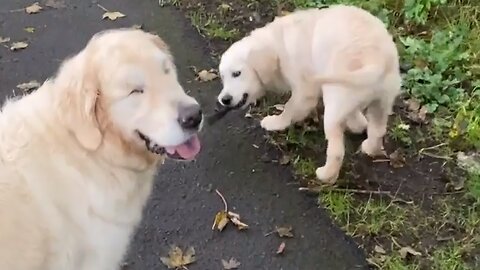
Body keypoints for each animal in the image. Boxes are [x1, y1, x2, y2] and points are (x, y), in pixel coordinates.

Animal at [218, 5, 402, 184]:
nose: (224, 100)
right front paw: (357, 123)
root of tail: (376, 62)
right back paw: (369, 148)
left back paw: (326, 175)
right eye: (223, 77)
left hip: (334, 99)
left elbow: (289, 109)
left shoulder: (304, 92)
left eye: (237, 73)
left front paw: (274, 122)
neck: (279, 44)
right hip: (381, 101)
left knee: (337, 150)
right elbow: (355, 115)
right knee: (378, 129)